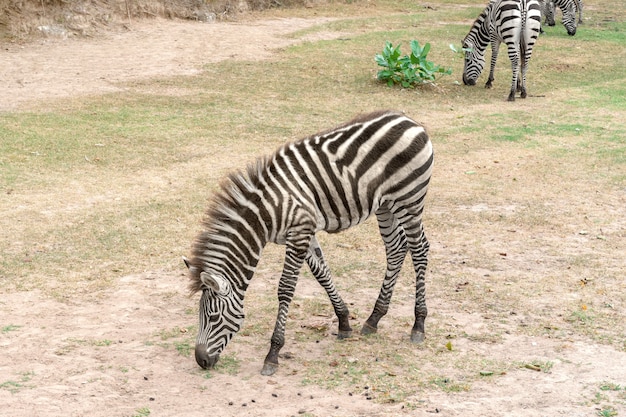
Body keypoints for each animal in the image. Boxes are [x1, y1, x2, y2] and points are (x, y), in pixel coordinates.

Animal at [183, 109, 432, 376]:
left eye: (213, 317)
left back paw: (418, 323)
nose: (201, 360)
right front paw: (344, 322)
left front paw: (273, 353)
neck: (267, 212)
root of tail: (410, 120)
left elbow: (285, 289)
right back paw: (374, 317)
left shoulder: (300, 232)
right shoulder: (305, 232)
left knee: (419, 249)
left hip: (410, 200)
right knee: (396, 248)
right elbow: (322, 274)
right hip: (386, 205)